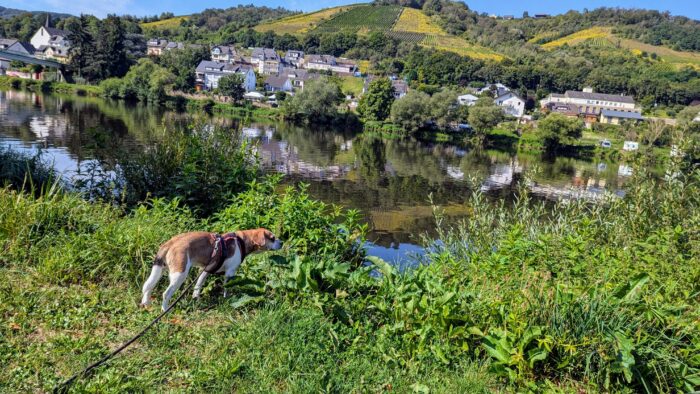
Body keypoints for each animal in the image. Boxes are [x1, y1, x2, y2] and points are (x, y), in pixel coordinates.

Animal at [139, 228, 282, 310]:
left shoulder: (205, 271)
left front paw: (196, 298)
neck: (241, 240)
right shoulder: (230, 273)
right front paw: (227, 299)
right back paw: (165, 310)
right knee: (166, 294)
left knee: (148, 287)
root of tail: (170, 243)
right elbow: (227, 289)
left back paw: (146, 304)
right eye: (272, 238)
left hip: (159, 270)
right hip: (179, 275)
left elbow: (198, 286)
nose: (282, 242)